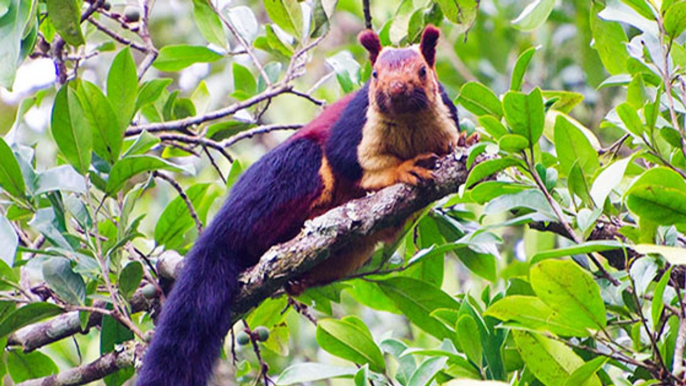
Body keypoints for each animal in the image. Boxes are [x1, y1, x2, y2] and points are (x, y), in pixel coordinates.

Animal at [134, 24, 468, 386]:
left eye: (422, 71)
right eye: (375, 74)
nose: (395, 89)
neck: (408, 125)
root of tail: (220, 229)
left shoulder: (446, 116)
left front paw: (468, 141)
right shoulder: (355, 125)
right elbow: (349, 161)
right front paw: (402, 169)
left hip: (353, 249)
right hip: (290, 177)